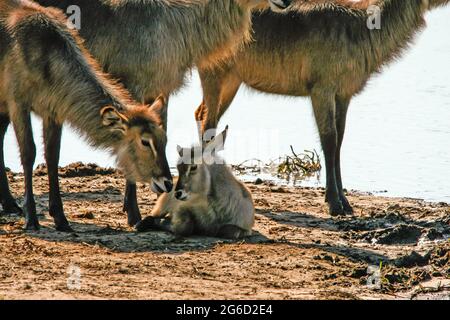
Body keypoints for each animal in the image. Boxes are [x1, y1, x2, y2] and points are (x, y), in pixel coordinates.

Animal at [0, 0, 172, 230]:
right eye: (145, 141)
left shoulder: (52, 110)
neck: (46, 52)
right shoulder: (17, 103)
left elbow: (52, 156)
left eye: (164, 139)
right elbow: (29, 153)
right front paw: (32, 219)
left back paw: (9, 204)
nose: (167, 182)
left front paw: (61, 218)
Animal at [36, 0, 296, 226]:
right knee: (49, 149)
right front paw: (134, 213)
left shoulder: (160, 91)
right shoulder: (134, 89)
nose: (287, 1)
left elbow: (162, 131)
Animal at [195, 0, 450, 216]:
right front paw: (335, 203)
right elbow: (329, 140)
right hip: (215, 73)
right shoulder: (322, 88)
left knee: (201, 115)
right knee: (208, 124)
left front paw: (345, 202)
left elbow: (340, 142)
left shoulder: (344, 94)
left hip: (232, 81)